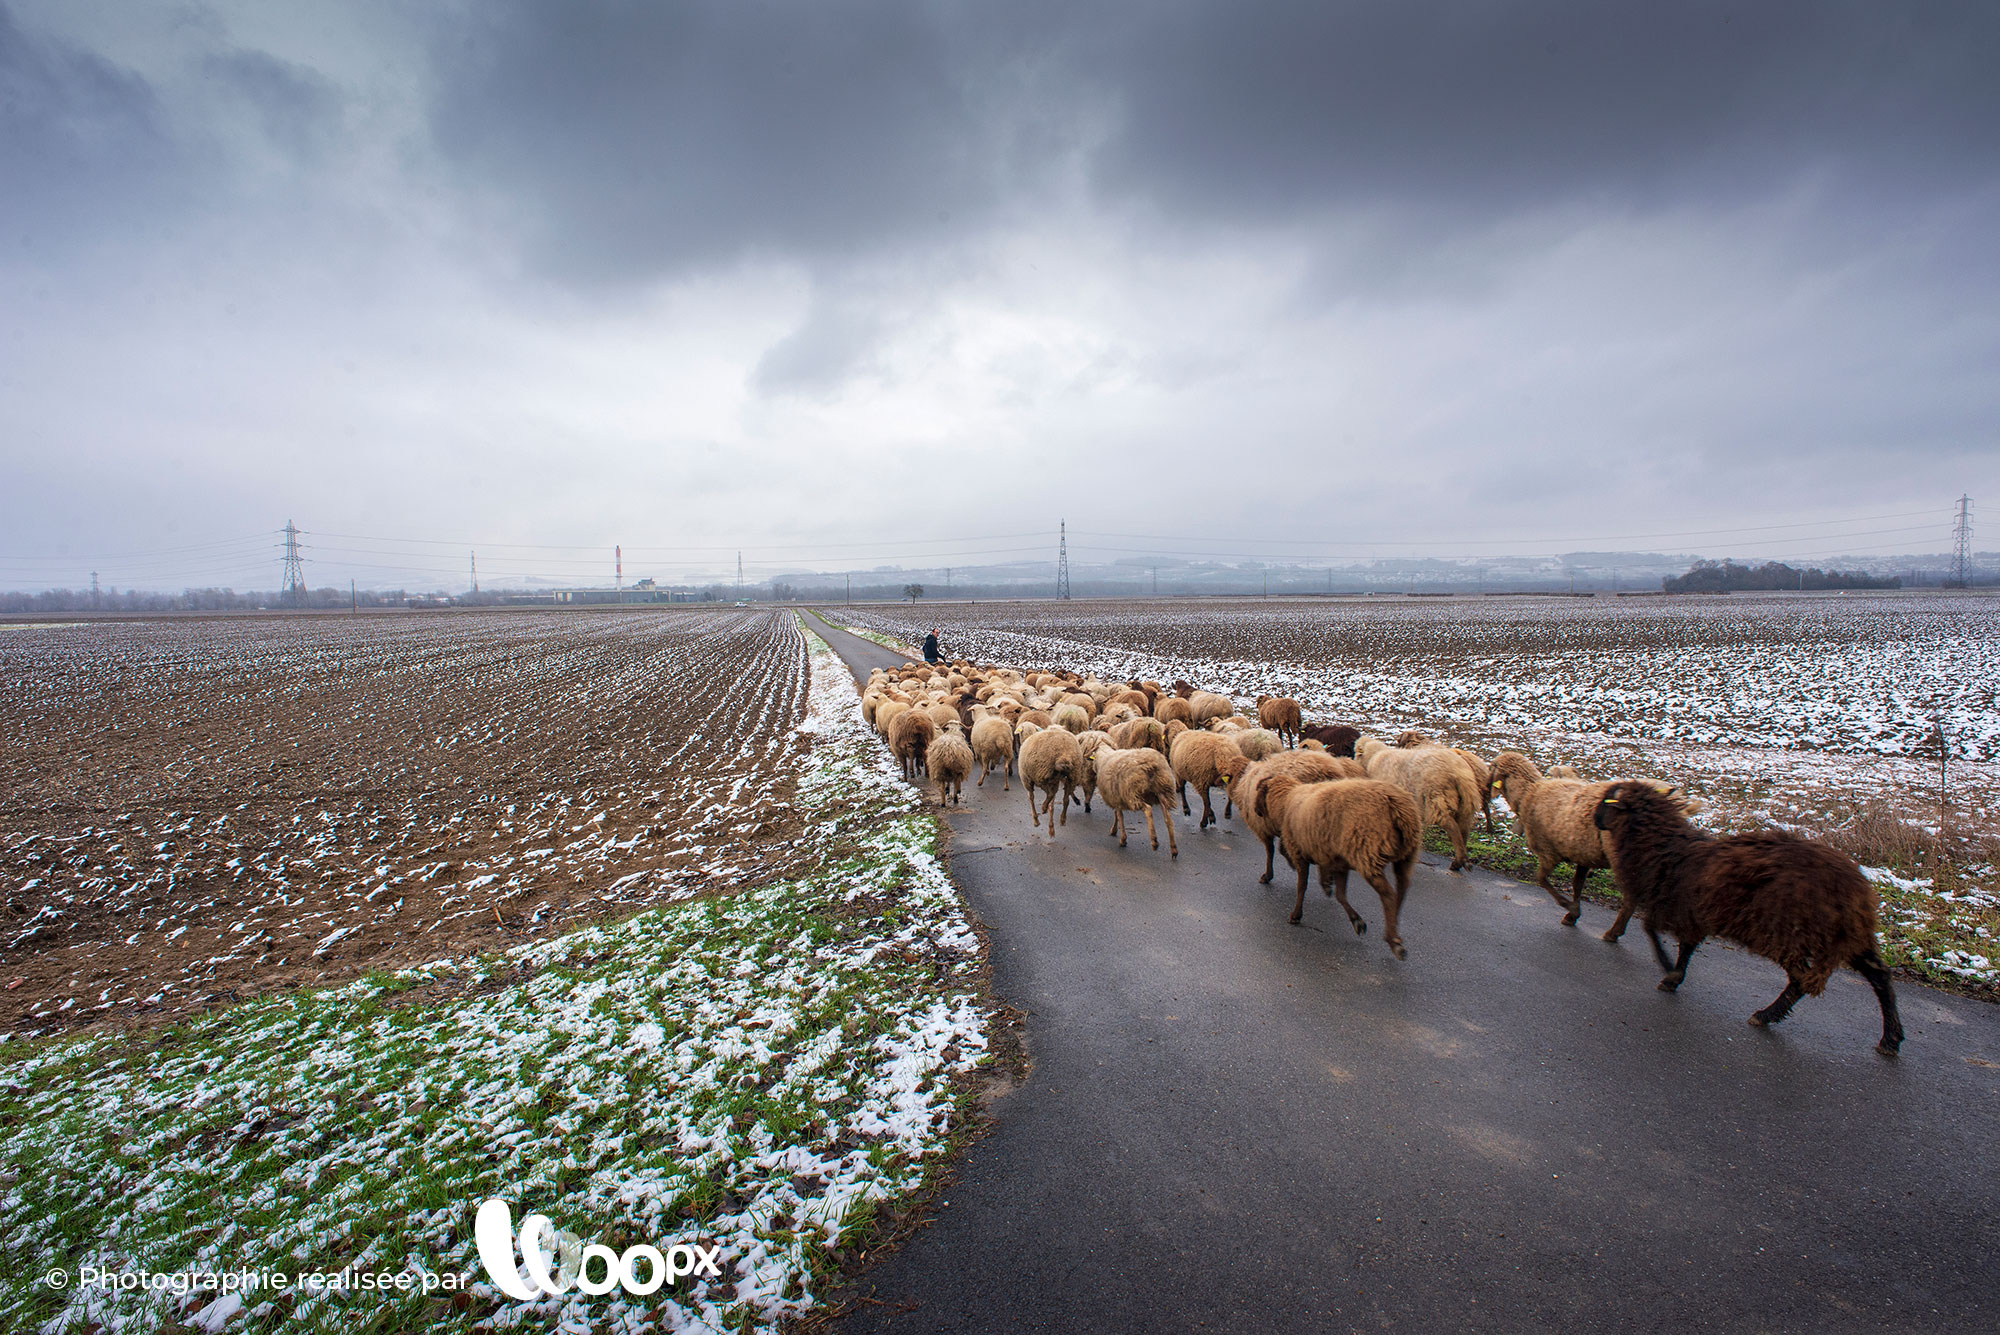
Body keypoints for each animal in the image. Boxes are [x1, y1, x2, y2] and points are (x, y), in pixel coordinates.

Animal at [1248, 775, 1424, 955]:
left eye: (1259, 790)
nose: (1255, 810)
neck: (1285, 801)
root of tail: (1396, 803)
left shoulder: (1299, 853)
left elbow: (1302, 886)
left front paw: (1296, 915)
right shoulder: (1337, 861)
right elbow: (1340, 894)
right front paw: (1356, 921)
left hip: (1367, 854)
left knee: (1389, 895)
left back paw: (1393, 940)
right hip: (1407, 854)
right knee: (1402, 889)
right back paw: (1394, 925)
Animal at [1352, 735, 1480, 871]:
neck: (1374, 757)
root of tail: (1459, 772)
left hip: (1436, 798)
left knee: (1453, 828)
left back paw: (1458, 861)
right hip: (1465, 803)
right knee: (1464, 831)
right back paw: (1460, 861)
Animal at [1592, 783, 1904, 1055]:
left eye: (1608, 803)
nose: (1595, 818)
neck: (1664, 845)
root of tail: (1853, 886)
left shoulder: (1673, 907)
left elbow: (1652, 932)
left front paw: (1669, 972)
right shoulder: (1692, 915)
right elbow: (1684, 946)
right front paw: (1674, 977)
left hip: (1786, 933)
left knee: (1800, 980)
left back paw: (1766, 1015)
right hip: (1849, 936)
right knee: (1880, 975)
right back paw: (1891, 1039)